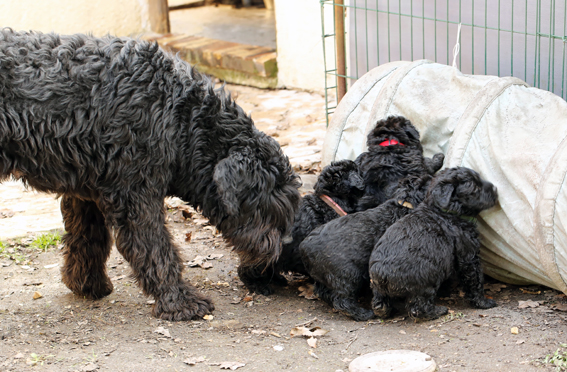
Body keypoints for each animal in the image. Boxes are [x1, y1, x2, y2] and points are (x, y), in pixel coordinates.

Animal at [0, 29, 302, 320]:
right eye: (266, 204)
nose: (287, 242)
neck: (180, 116)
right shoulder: (135, 192)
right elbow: (156, 247)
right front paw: (180, 302)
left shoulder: (86, 191)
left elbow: (87, 239)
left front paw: (87, 284)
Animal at [302, 174, 430, 320]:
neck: (402, 203)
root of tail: (304, 247)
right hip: (347, 275)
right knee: (342, 301)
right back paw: (363, 314)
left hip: (324, 277)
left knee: (324, 292)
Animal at [372, 166, 496, 320]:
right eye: (474, 188)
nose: (495, 189)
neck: (444, 210)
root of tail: (381, 275)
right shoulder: (469, 255)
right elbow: (475, 279)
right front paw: (484, 302)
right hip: (426, 280)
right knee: (418, 307)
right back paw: (438, 311)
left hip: (378, 290)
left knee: (379, 305)